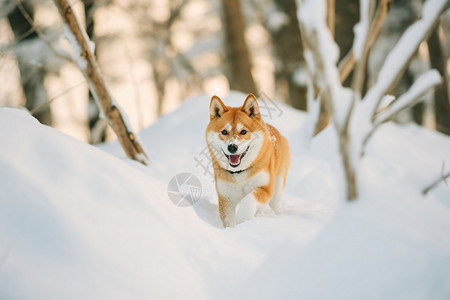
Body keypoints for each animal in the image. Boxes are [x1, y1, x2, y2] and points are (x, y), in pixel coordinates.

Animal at [205, 94, 290, 227]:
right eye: (224, 131)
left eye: (243, 131)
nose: (232, 147)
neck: (240, 172)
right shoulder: (226, 197)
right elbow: (229, 221)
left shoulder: (266, 188)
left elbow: (249, 199)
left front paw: (243, 219)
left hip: (277, 189)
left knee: (274, 204)